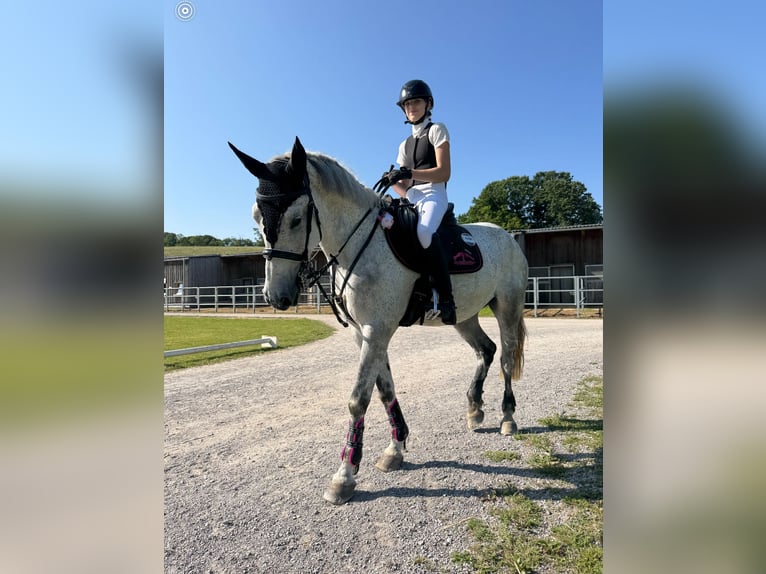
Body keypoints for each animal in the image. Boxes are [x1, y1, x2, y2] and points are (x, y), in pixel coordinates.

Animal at [229, 137, 529, 505]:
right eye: (257, 216)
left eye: (297, 219)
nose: (276, 296)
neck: (361, 243)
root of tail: (506, 235)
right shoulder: (366, 333)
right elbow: (385, 391)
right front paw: (394, 450)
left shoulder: (377, 331)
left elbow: (358, 399)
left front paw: (344, 475)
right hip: (464, 315)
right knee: (485, 350)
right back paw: (474, 410)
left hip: (508, 306)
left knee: (506, 357)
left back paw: (508, 418)